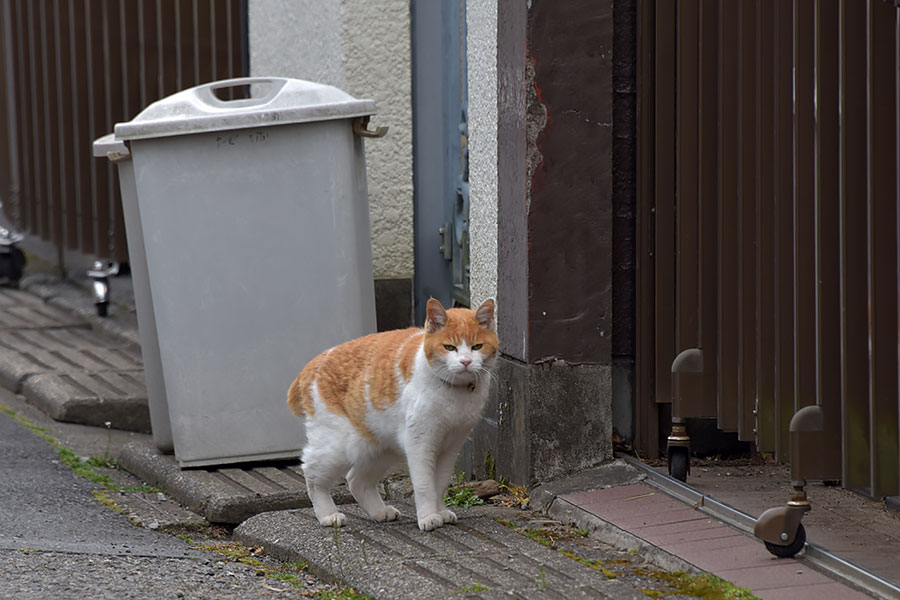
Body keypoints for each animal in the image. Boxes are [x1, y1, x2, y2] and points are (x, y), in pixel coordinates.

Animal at [288, 298, 500, 528]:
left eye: (477, 346)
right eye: (450, 347)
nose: (466, 361)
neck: (454, 393)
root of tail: (314, 363)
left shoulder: (451, 445)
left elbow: (440, 483)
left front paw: (441, 511)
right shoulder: (420, 443)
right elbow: (425, 485)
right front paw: (428, 516)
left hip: (379, 447)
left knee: (356, 480)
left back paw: (379, 512)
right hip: (339, 447)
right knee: (311, 472)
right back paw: (328, 515)